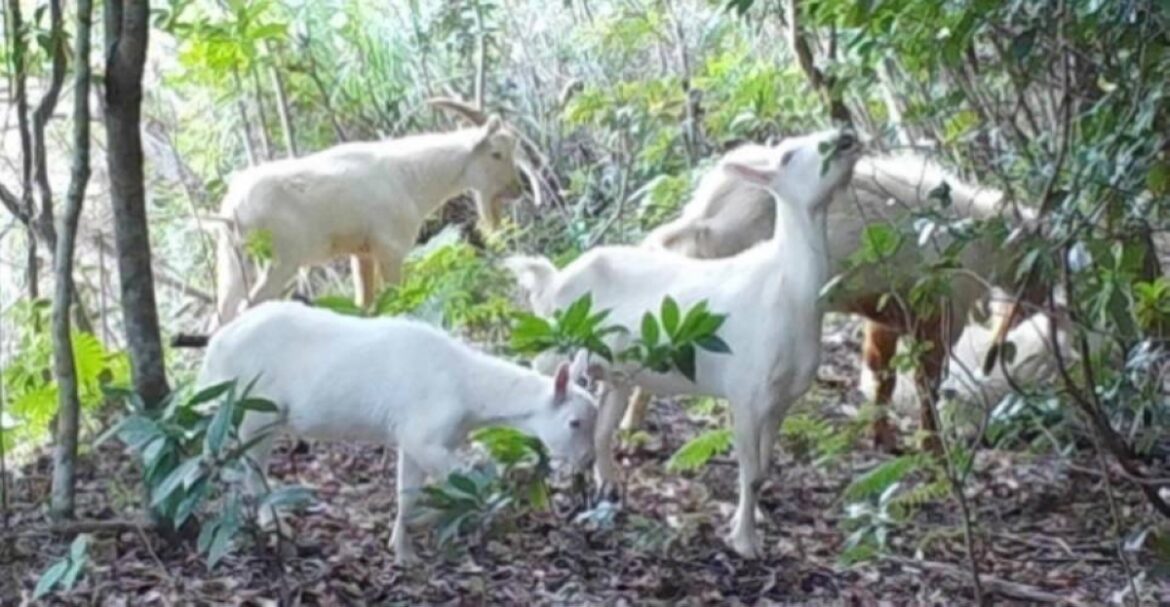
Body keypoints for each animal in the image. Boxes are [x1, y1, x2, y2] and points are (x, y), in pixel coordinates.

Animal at [194, 301, 598, 564]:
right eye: (574, 423)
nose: (587, 460)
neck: (469, 393)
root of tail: (213, 347)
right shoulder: (424, 433)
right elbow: (469, 481)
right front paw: (425, 528)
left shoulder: (414, 438)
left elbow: (407, 494)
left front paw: (402, 550)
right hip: (249, 408)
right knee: (238, 464)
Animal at [206, 99, 538, 330]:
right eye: (496, 153)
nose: (517, 189)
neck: (408, 176)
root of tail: (233, 210)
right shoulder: (391, 250)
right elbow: (399, 299)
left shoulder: (362, 254)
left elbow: (364, 306)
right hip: (279, 262)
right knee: (246, 309)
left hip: (234, 263)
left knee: (222, 315)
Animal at [505, 129, 862, 558]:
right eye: (788, 154)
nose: (845, 137)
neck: (786, 291)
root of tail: (551, 282)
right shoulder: (745, 392)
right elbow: (750, 471)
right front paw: (745, 542)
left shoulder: (781, 401)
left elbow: (763, 469)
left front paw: (749, 524)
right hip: (553, 347)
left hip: (615, 371)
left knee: (602, 428)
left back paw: (608, 490)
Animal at [637, 148, 1044, 452]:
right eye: (1039, 258)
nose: (1041, 305)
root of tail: (706, 213)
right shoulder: (939, 317)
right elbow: (927, 385)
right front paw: (933, 448)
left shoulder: (884, 314)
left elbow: (883, 377)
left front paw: (883, 439)